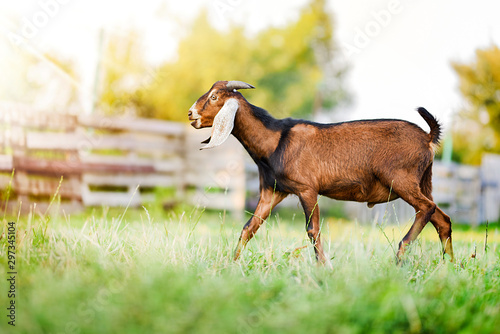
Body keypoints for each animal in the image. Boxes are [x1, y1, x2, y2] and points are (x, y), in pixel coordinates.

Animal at [188, 80, 454, 264]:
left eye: (214, 97)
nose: (191, 113)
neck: (276, 139)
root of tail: (428, 138)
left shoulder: (307, 189)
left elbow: (312, 230)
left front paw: (323, 267)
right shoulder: (272, 192)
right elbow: (248, 228)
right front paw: (230, 265)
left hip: (401, 179)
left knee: (427, 208)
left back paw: (400, 254)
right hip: (424, 182)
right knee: (442, 218)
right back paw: (449, 266)